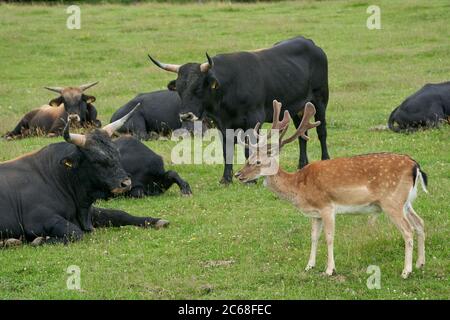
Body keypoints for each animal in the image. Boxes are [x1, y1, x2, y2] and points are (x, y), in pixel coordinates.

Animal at [0, 105, 168, 248]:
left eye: (117, 153)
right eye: (96, 161)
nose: (126, 183)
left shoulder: (90, 210)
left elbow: (120, 214)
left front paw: (156, 221)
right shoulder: (38, 219)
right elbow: (75, 232)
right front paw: (39, 240)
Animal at [149, 35, 328, 184]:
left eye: (198, 88)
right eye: (179, 89)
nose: (186, 115)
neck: (228, 88)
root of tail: (309, 42)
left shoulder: (254, 119)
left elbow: (249, 148)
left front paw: (250, 179)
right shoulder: (222, 124)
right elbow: (226, 150)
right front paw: (226, 179)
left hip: (320, 100)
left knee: (322, 132)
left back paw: (325, 159)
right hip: (298, 108)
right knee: (302, 134)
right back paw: (302, 165)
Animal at [234, 100, 428, 278]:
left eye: (258, 162)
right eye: (248, 158)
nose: (238, 174)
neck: (300, 187)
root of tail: (415, 166)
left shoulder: (326, 206)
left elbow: (329, 237)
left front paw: (329, 270)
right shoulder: (315, 214)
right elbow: (313, 236)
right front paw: (309, 266)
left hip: (391, 201)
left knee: (408, 230)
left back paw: (406, 271)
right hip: (405, 202)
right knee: (419, 223)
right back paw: (420, 263)